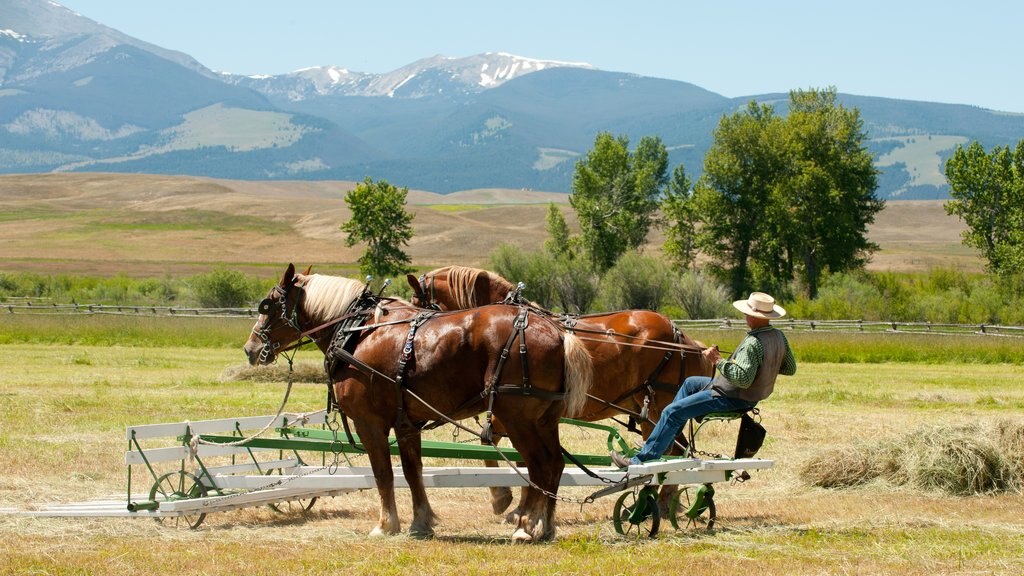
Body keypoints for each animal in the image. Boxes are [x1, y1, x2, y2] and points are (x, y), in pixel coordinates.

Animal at [242, 262, 593, 541]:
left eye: (268, 305)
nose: (250, 348)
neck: (358, 332)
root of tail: (556, 331)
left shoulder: (370, 423)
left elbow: (383, 473)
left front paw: (386, 525)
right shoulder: (406, 423)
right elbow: (413, 471)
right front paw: (421, 522)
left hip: (518, 418)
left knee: (538, 465)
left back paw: (527, 526)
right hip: (544, 419)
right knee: (555, 464)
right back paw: (545, 525)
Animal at [407, 264, 712, 510]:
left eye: (416, 300)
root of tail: (680, 334)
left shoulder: (514, 409)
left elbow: (499, 446)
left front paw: (503, 499)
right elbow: (514, 454)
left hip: (657, 404)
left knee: (672, 452)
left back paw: (657, 502)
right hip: (645, 409)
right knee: (673, 451)